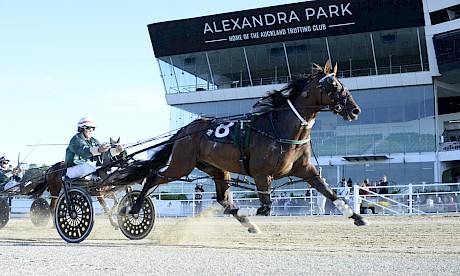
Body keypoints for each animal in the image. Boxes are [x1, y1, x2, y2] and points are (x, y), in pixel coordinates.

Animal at [126, 61, 370, 232]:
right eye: (333, 85)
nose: (355, 110)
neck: (279, 128)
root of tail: (186, 129)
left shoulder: (305, 169)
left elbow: (328, 191)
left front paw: (357, 216)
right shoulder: (261, 173)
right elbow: (265, 207)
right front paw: (250, 213)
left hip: (216, 168)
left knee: (222, 197)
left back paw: (248, 223)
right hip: (181, 165)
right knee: (152, 178)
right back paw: (134, 209)